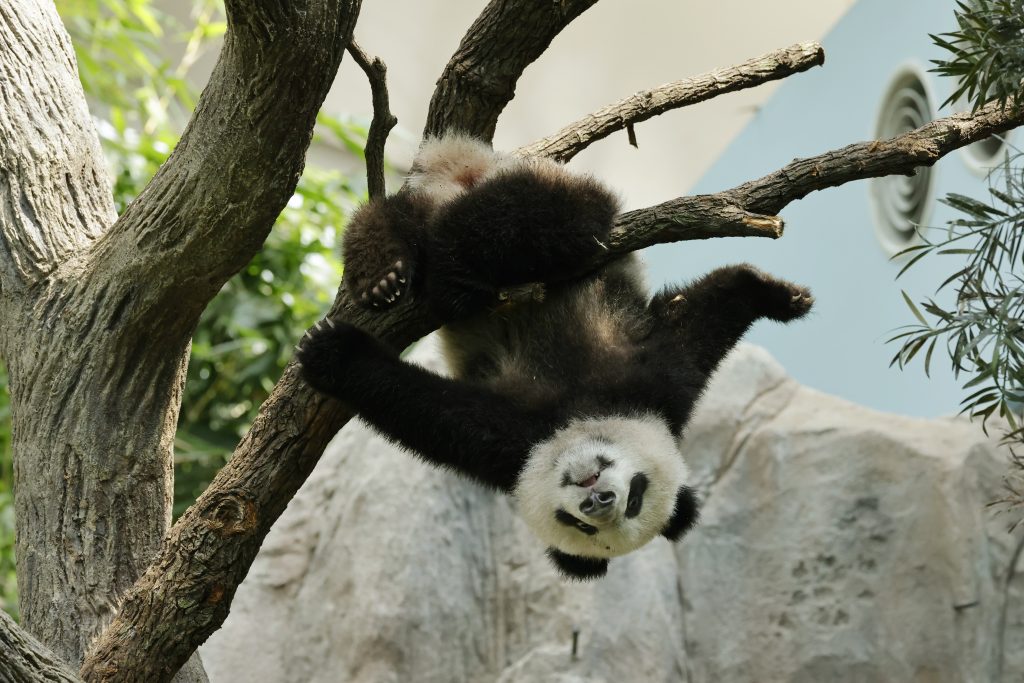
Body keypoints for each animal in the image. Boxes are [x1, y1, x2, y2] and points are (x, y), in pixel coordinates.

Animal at [297, 134, 813, 580]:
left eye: (607, 519)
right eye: (637, 492)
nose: (598, 500)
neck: (575, 416)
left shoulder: (511, 446)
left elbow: (424, 407)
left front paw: (334, 356)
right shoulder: (635, 388)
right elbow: (697, 326)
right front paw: (780, 296)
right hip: (555, 192)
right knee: (536, 221)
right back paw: (400, 273)